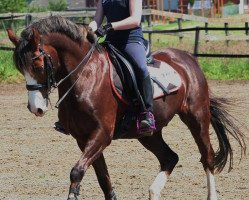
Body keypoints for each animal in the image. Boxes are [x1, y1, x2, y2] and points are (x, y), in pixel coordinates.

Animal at [6, 15, 246, 200]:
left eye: (37, 65)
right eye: (20, 69)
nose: (35, 108)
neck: (85, 75)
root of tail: (188, 58)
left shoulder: (102, 134)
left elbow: (76, 173)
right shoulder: (83, 139)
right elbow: (103, 180)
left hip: (197, 117)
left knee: (207, 157)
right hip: (148, 133)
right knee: (170, 158)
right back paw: (153, 192)